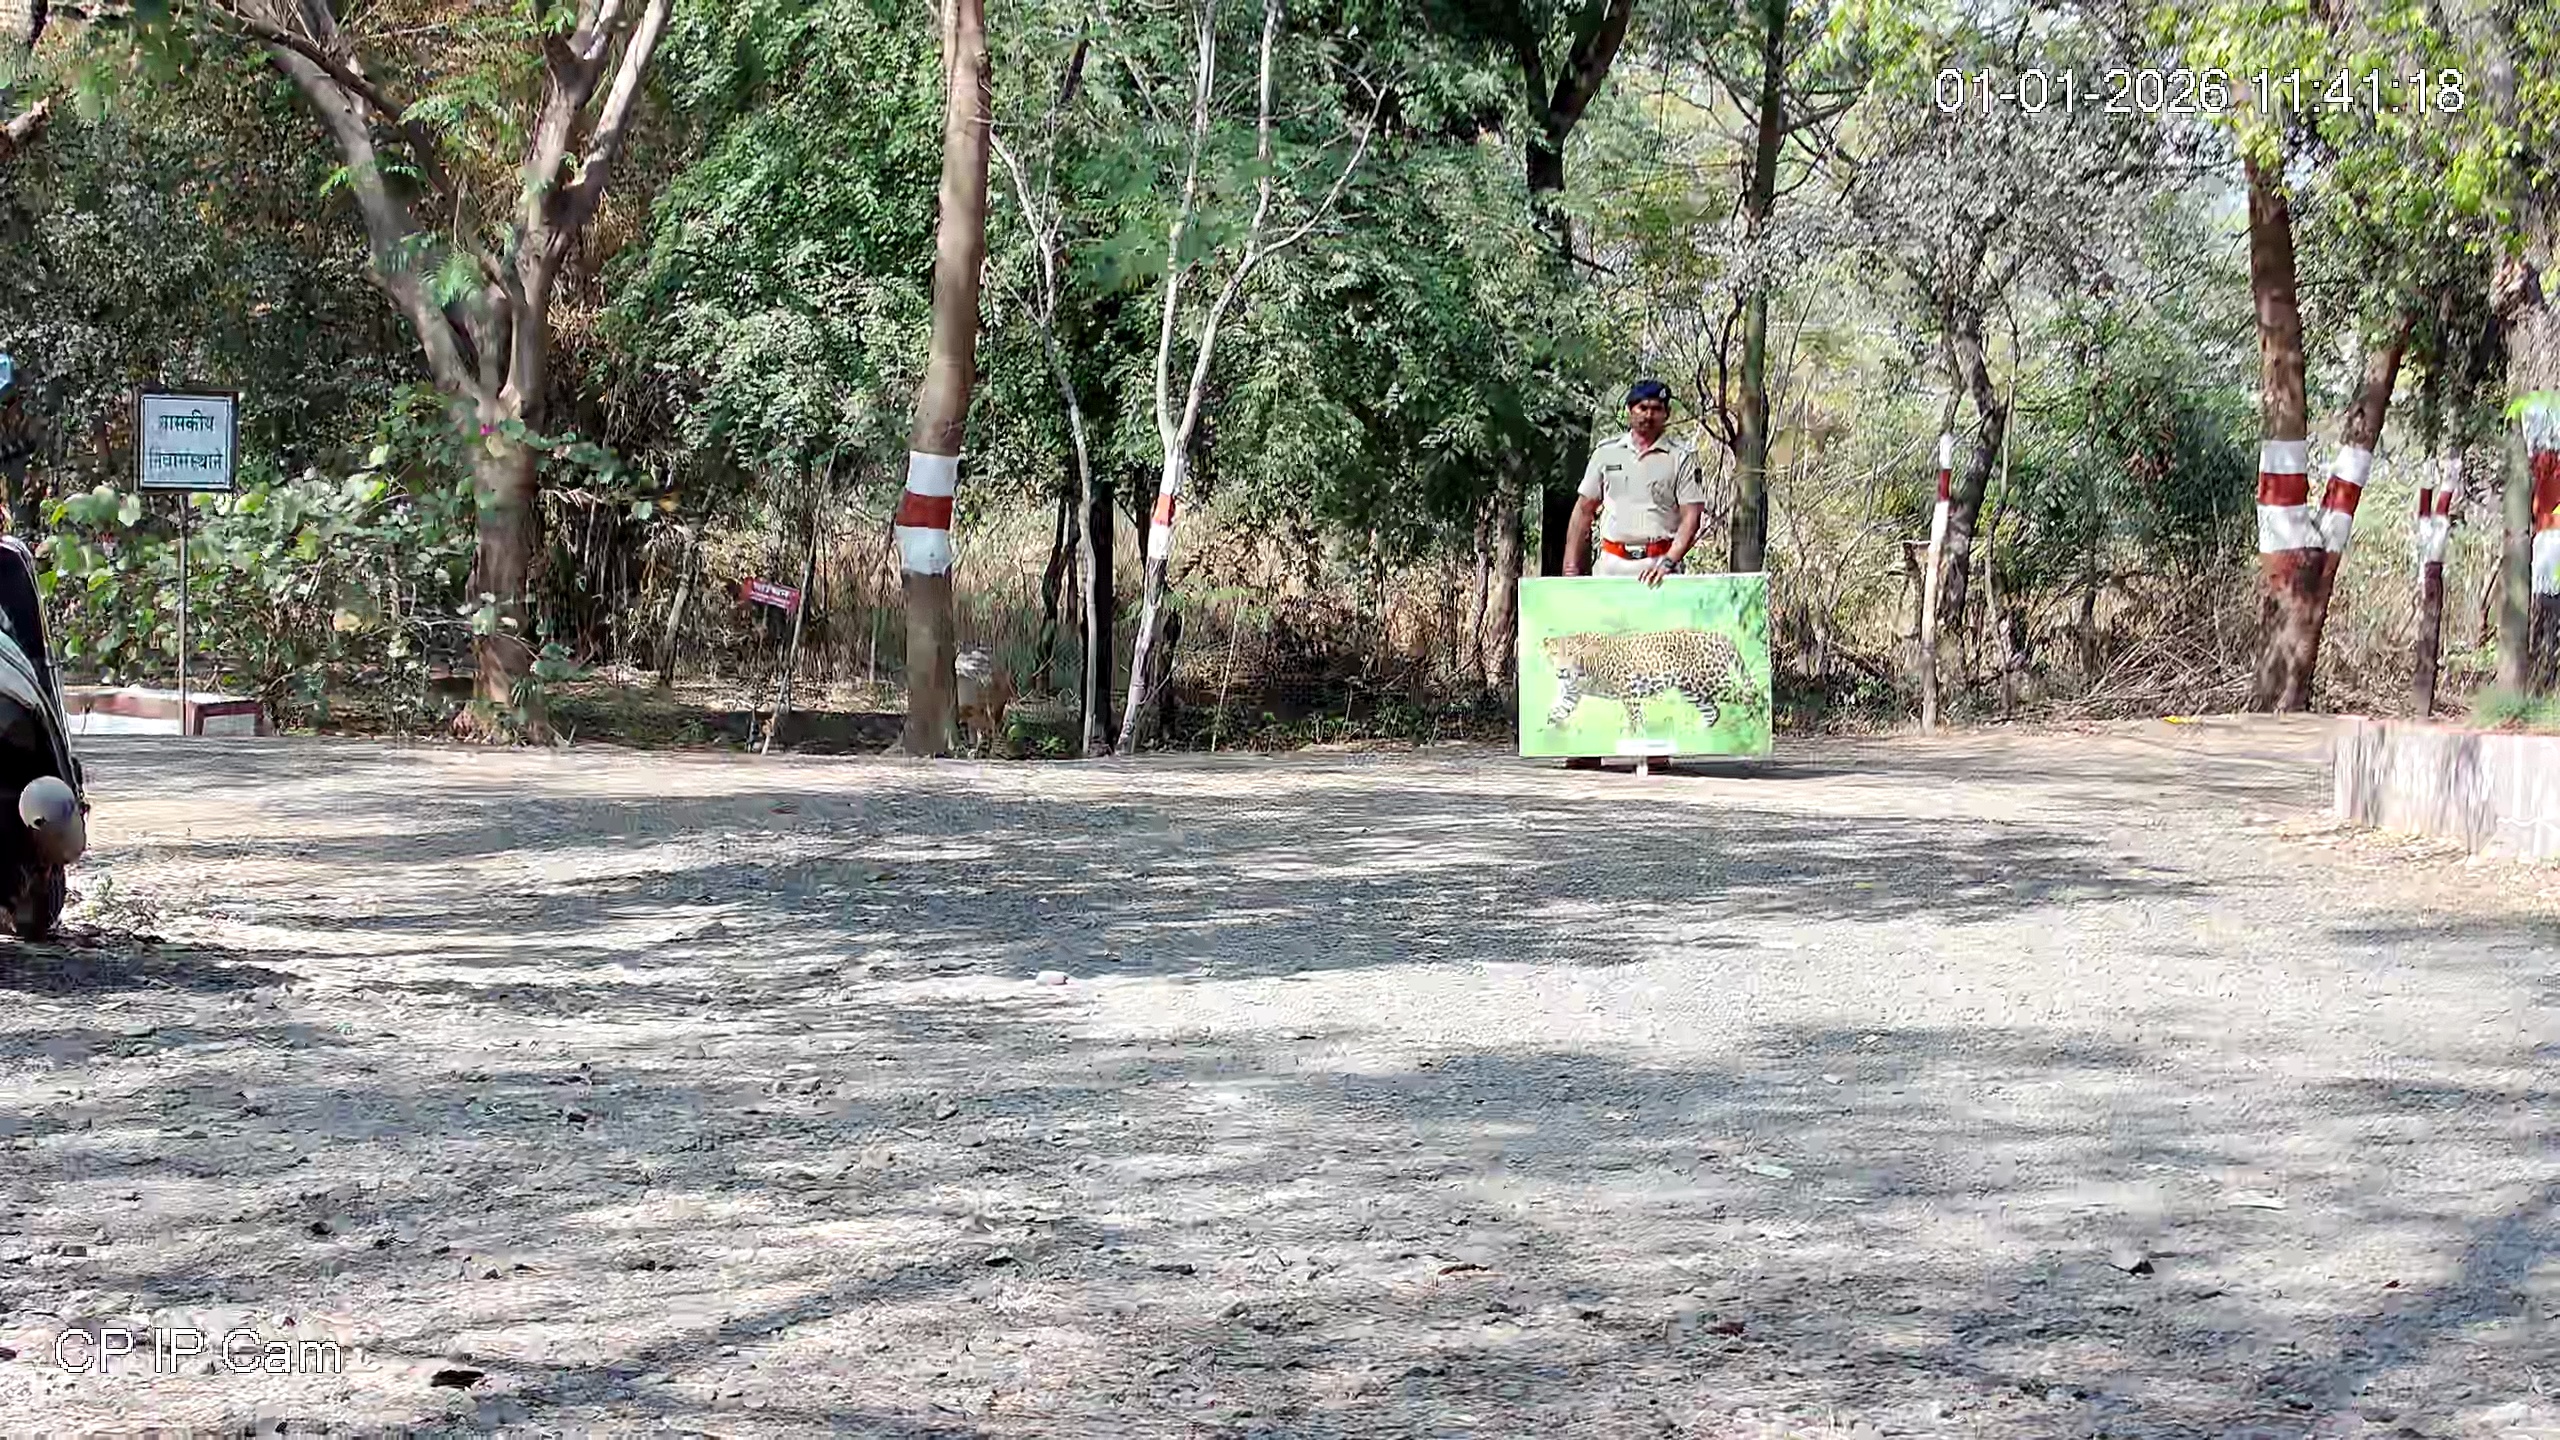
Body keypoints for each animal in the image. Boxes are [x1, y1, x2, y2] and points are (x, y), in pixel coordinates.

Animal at [1540, 629, 1758, 736]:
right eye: (1554, 654)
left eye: (1570, 654)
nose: (1562, 669)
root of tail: (1720, 636)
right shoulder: (1570, 694)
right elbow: (1555, 712)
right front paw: (1550, 735)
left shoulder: (1627, 686)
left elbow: (1635, 716)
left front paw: (1637, 737)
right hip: (1692, 689)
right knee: (1713, 711)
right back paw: (1695, 736)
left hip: (1712, 681)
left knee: (1750, 695)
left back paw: (1754, 726)